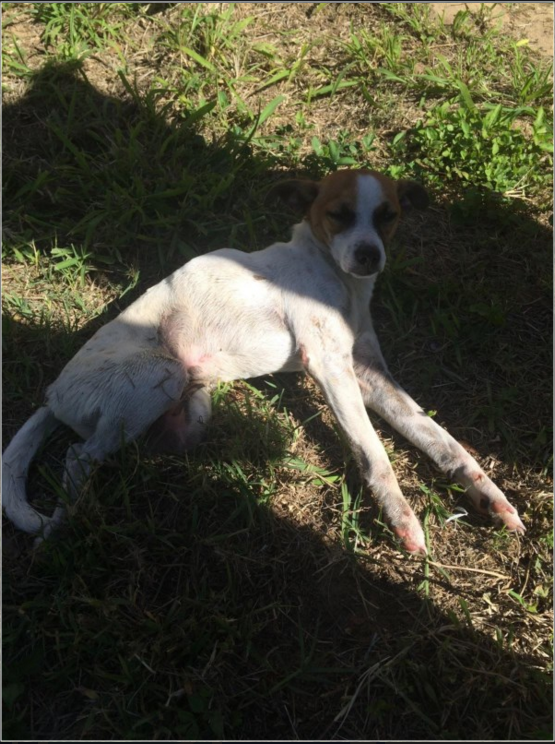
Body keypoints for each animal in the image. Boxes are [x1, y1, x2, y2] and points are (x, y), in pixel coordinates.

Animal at [2, 168, 525, 551]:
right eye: (337, 214)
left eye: (388, 215)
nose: (368, 256)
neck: (337, 278)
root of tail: (54, 393)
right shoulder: (331, 367)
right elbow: (374, 454)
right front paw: (402, 520)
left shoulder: (371, 375)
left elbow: (444, 441)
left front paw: (489, 496)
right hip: (160, 373)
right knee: (77, 457)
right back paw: (65, 525)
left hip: (190, 411)